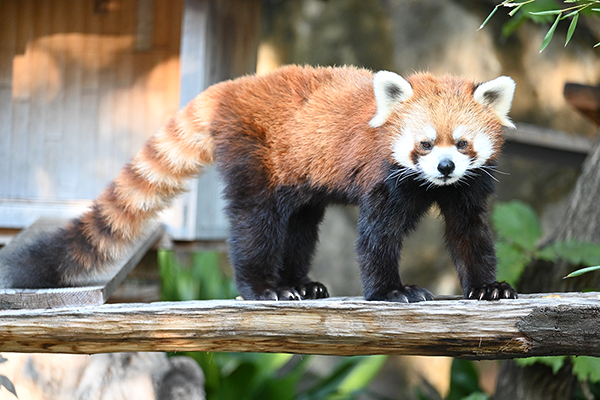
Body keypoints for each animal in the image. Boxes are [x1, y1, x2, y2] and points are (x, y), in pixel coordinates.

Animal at [4, 65, 516, 302]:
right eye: (424, 145)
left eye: (462, 144)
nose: (445, 167)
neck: (433, 186)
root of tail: (232, 86)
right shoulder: (384, 178)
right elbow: (377, 237)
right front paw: (392, 291)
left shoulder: (469, 188)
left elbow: (470, 233)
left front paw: (487, 287)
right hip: (254, 153)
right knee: (255, 223)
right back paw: (263, 288)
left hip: (299, 175)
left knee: (299, 227)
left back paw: (298, 284)